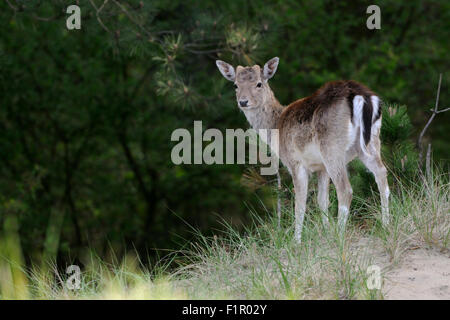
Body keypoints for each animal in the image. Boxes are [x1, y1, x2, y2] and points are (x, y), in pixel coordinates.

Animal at [216, 57, 388, 242]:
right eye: (235, 85)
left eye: (259, 83)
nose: (243, 101)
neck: (276, 126)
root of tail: (361, 95)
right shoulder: (321, 167)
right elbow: (322, 201)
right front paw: (326, 232)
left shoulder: (295, 163)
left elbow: (300, 204)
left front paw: (296, 241)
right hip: (371, 141)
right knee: (381, 174)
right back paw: (386, 225)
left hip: (332, 147)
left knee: (345, 190)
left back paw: (340, 235)